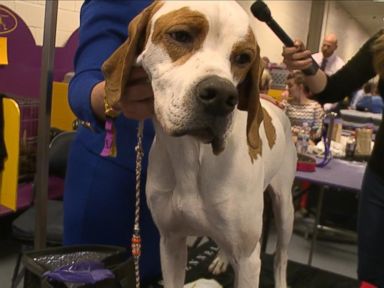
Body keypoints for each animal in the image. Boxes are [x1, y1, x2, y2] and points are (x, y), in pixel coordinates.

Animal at [103, 1, 296, 286]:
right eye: (181, 35)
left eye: (243, 58)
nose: (222, 96)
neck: (192, 155)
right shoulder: (171, 242)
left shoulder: (248, 260)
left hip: (284, 209)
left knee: (282, 257)